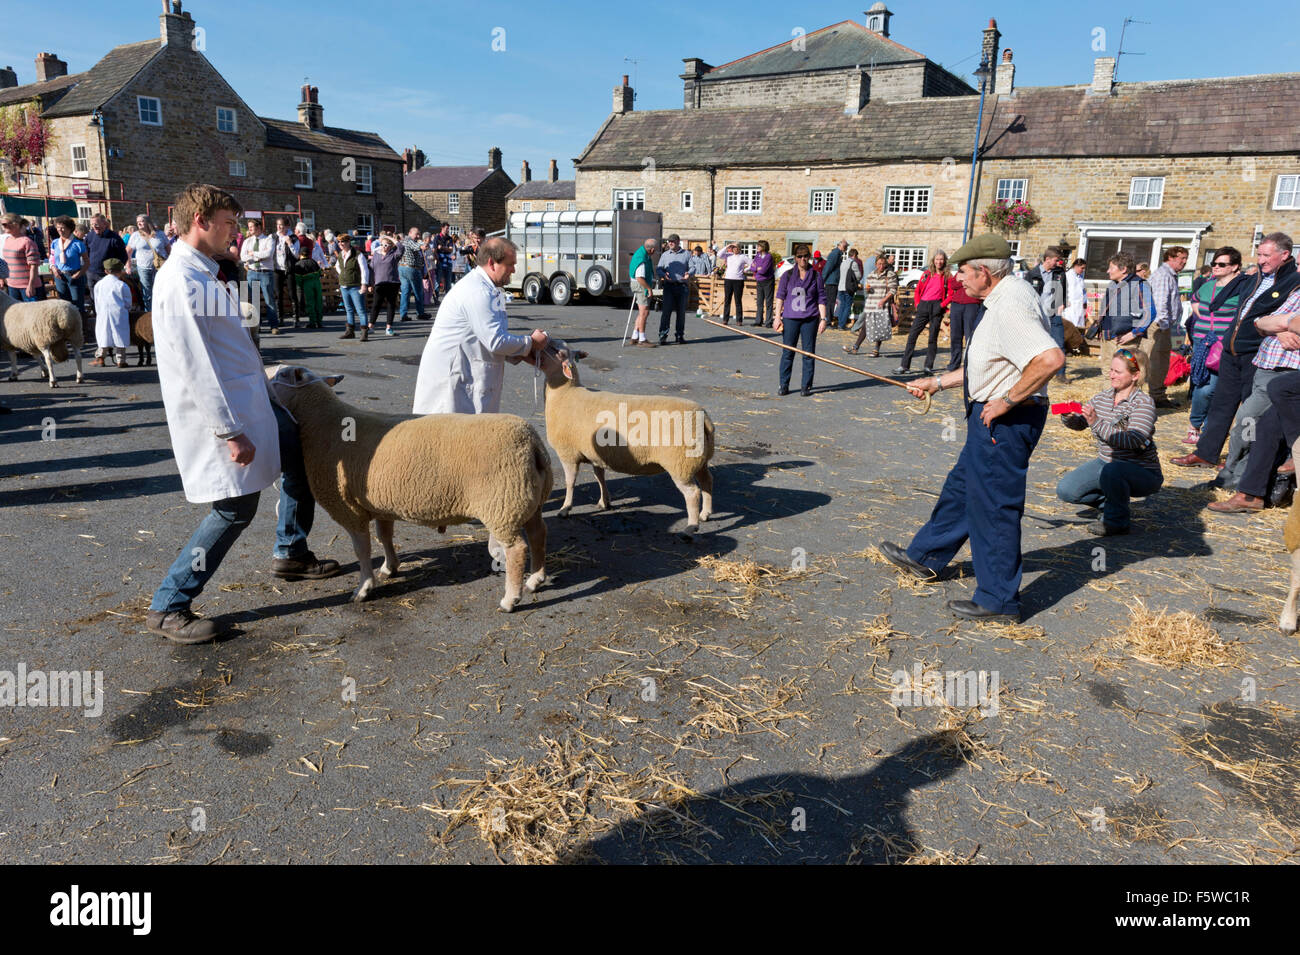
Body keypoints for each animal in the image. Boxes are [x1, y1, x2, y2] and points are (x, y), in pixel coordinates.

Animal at [266, 366, 551, 613]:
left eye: (278, 375)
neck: (322, 422)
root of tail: (532, 443)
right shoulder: (379, 504)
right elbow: (384, 537)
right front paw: (389, 568)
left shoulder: (349, 509)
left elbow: (362, 549)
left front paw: (364, 588)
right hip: (528, 501)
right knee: (538, 536)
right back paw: (535, 580)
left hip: (502, 504)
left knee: (517, 549)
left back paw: (510, 599)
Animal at [540, 343, 722, 537]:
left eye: (555, 351)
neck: (564, 393)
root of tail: (703, 418)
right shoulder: (596, 454)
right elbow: (599, 476)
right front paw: (604, 502)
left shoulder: (568, 453)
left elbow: (570, 482)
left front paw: (565, 508)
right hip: (698, 460)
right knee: (707, 481)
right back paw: (705, 514)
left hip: (680, 464)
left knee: (692, 493)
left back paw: (691, 527)